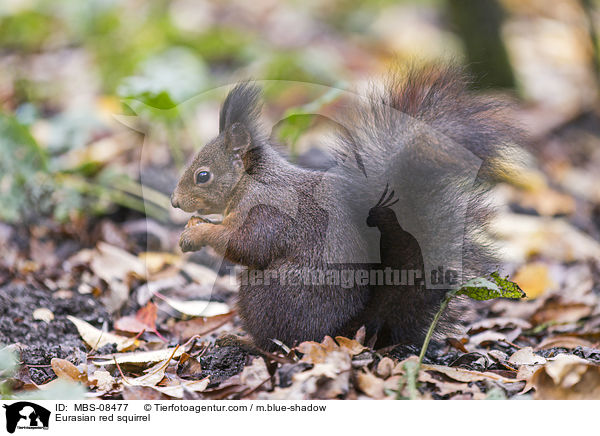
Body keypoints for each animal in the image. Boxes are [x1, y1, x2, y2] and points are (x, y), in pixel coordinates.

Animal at [170, 63, 520, 350]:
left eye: (203, 176)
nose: (175, 201)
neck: (251, 181)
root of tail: (344, 332)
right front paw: (193, 225)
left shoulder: (269, 210)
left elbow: (246, 245)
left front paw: (196, 234)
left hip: (267, 295)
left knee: (280, 340)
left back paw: (244, 342)